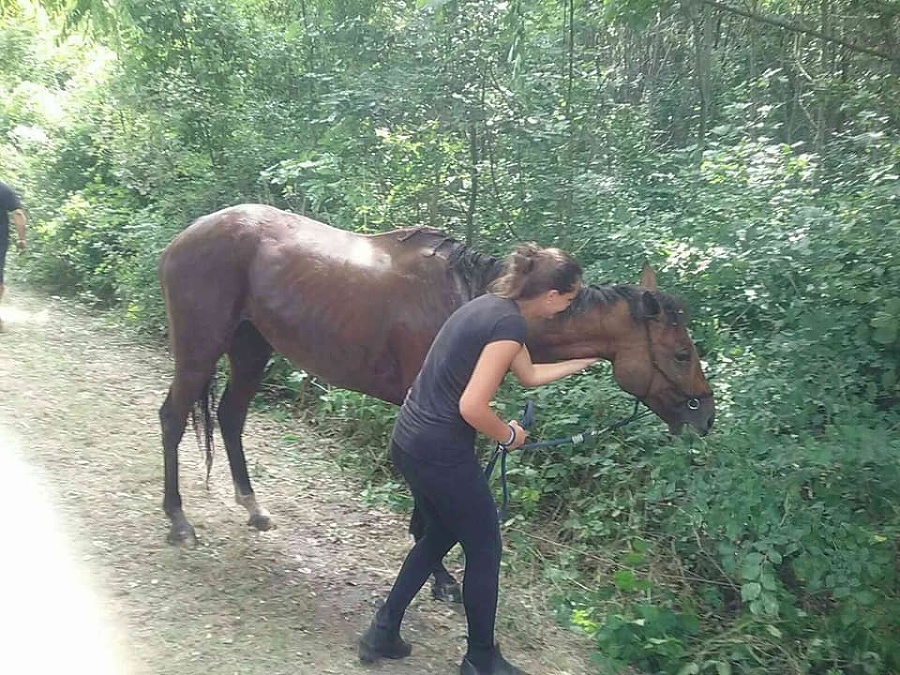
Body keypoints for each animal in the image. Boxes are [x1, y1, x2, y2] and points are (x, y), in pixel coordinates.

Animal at [158, 205, 712, 556]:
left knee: (230, 417)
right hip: (200, 350)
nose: (704, 415)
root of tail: (186, 236)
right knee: (173, 419)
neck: (469, 297)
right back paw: (179, 522)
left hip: (252, 349)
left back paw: (253, 509)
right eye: (681, 353)